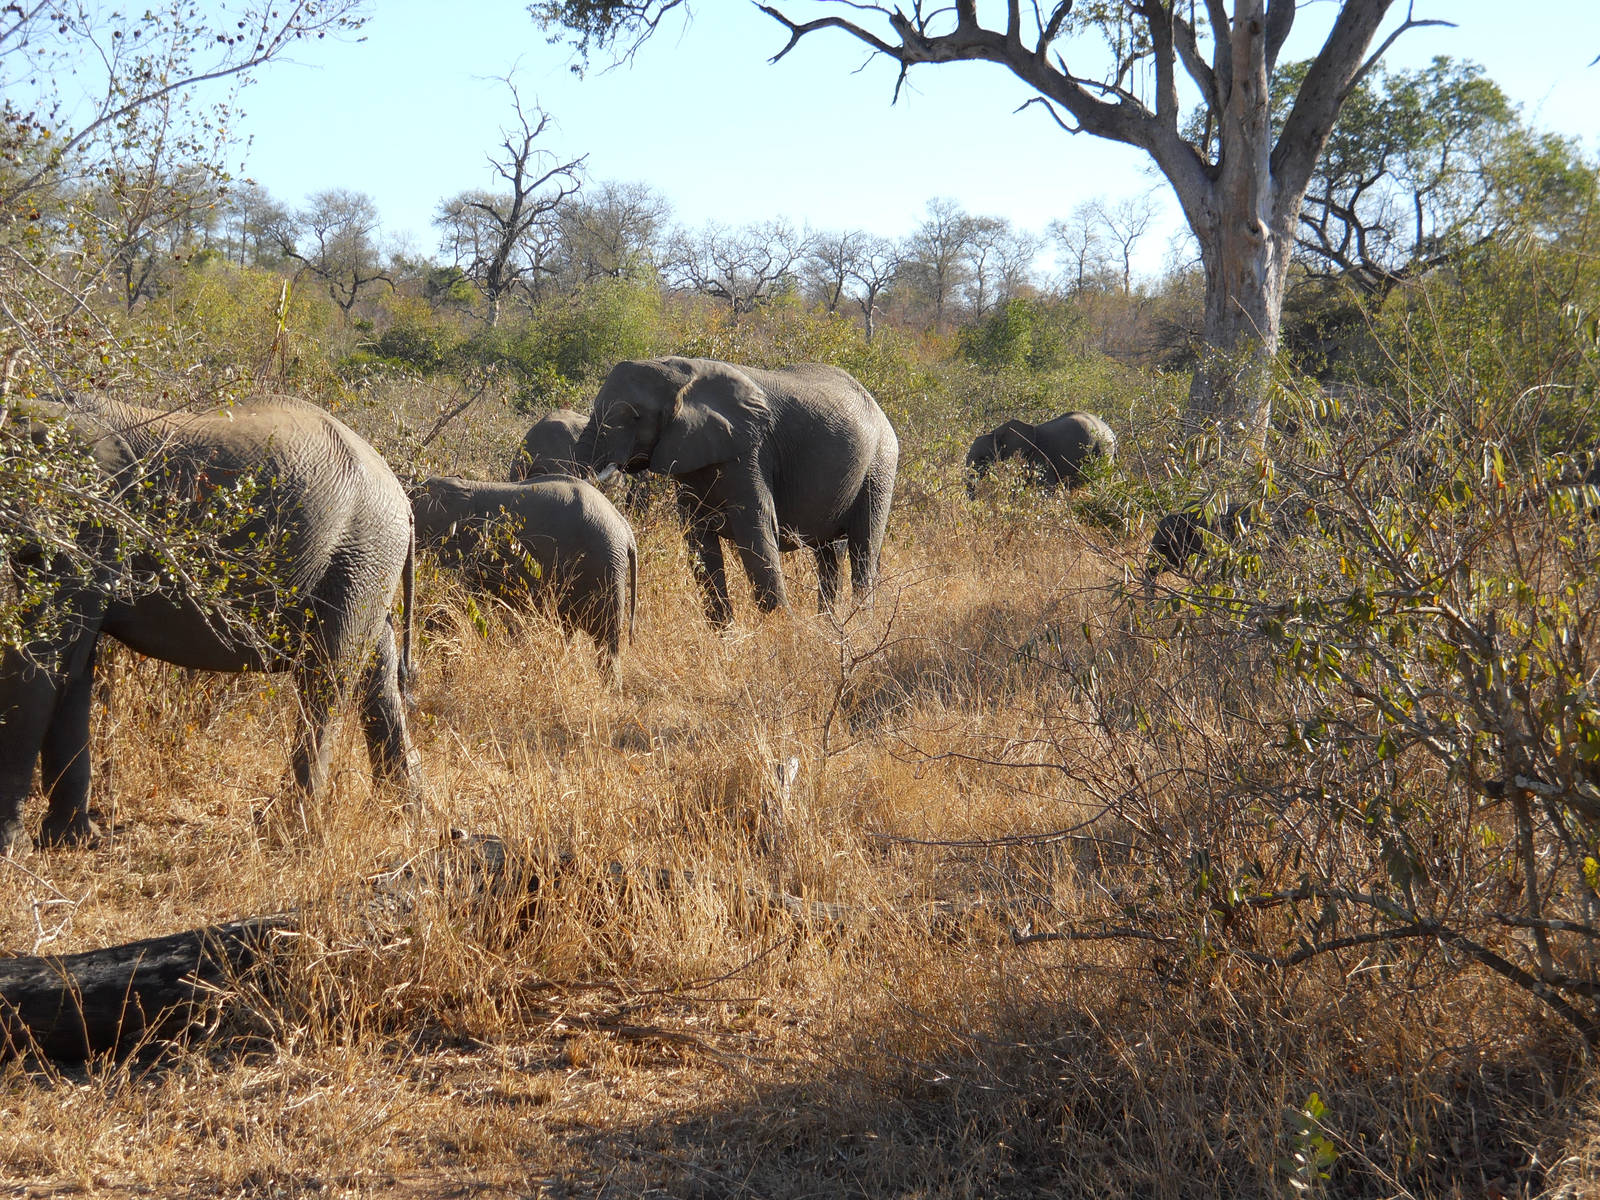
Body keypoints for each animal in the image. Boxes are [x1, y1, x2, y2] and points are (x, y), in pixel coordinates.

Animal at [0, 393, 421, 855]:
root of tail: (403, 500)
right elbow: (73, 663)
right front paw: (70, 841)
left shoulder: (86, 523)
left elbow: (42, 657)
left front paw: (14, 848)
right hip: (366, 565)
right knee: (376, 675)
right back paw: (407, 814)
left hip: (359, 555)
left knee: (327, 676)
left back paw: (287, 828)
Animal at [575, 356, 899, 626]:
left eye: (634, 417)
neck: (680, 372)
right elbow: (698, 538)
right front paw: (725, 633)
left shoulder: (750, 451)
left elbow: (754, 527)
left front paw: (781, 629)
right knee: (829, 553)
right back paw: (828, 626)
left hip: (880, 466)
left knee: (864, 547)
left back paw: (861, 625)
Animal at [965, 412, 1116, 496]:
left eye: (982, 459)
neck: (995, 431)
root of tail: (1112, 434)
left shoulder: (1040, 456)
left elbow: (1045, 487)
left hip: (1102, 451)